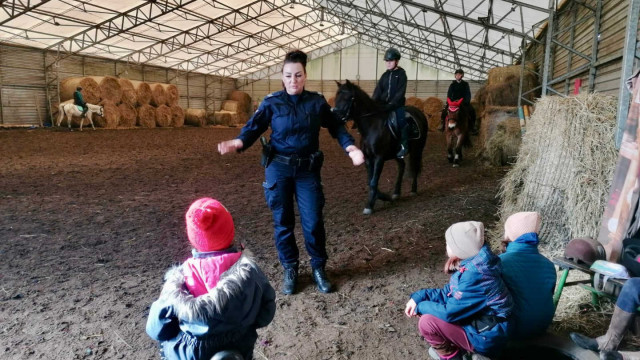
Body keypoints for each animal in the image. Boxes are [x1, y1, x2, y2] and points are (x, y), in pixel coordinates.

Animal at [332, 80, 428, 215]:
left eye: (347, 98)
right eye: (337, 97)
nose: (334, 117)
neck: (372, 126)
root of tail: (419, 113)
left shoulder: (379, 158)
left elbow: (373, 182)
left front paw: (370, 205)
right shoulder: (368, 159)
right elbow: (370, 182)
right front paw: (383, 197)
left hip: (418, 149)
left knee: (415, 166)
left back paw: (413, 190)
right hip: (396, 153)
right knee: (402, 166)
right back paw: (396, 193)